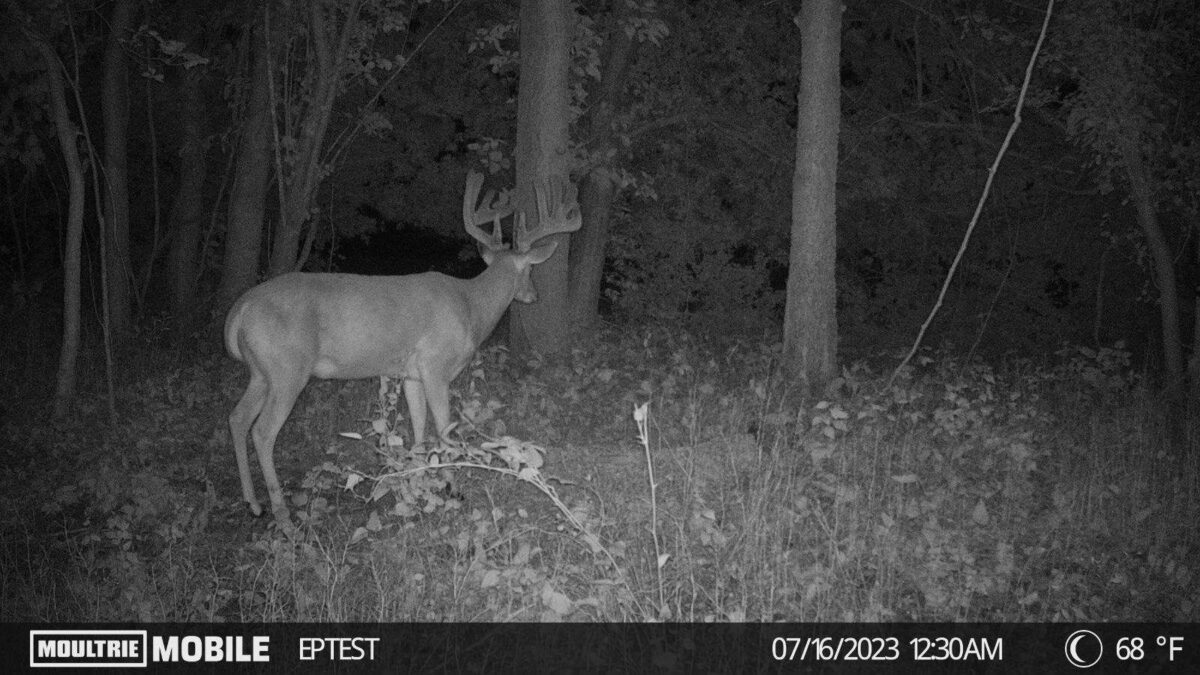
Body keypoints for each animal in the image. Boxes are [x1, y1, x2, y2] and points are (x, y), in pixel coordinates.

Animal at [224, 171, 582, 528]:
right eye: (531, 269)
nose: (533, 295)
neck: (472, 307)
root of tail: (240, 309)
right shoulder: (436, 365)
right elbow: (444, 428)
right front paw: (453, 487)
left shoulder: (411, 374)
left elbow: (419, 426)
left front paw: (416, 478)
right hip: (287, 369)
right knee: (263, 431)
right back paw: (282, 516)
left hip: (262, 372)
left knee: (237, 418)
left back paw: (252, 503)